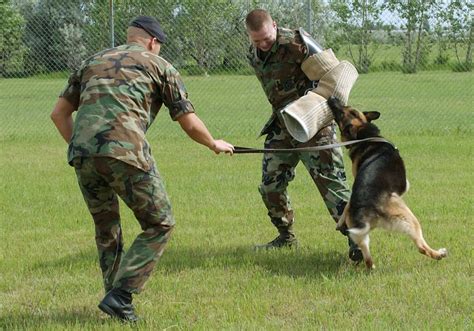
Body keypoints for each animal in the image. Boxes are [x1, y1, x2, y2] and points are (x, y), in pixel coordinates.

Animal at [328, 96, 446, 270]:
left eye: (347, 108)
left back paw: (371, 267)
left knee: (367, 257)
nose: (331, 98)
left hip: (361, 236)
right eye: (342, 111)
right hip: (408, 217)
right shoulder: (404, 184)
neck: (364, 137)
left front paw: (341, 220)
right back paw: (439, 254)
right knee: (421, 247)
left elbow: (348, 202)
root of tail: (367, 207)